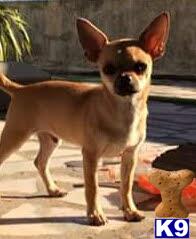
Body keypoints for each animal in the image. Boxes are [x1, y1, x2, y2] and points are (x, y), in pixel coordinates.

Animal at [0, 12, 169, 226]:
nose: (125, 78)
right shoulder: (91, 156)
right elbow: (93, 188)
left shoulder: (130, 155)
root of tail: (20, 89)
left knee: (40, 162)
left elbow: (126, 186)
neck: (123, 110)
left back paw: (52, 189)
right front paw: (95, 214)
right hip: (15, 136)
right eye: (108, 69)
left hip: (51, 139)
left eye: (141, 67)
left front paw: (130, 211)